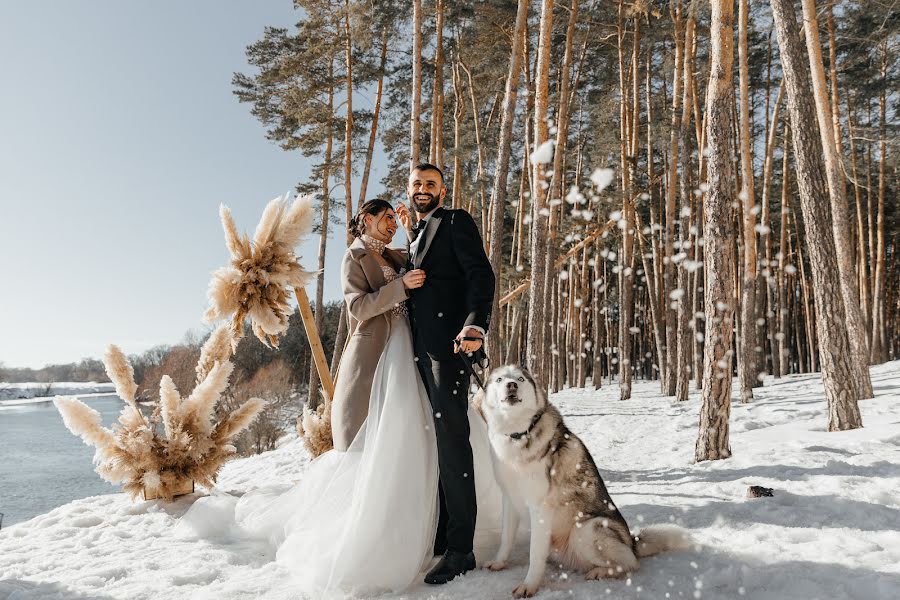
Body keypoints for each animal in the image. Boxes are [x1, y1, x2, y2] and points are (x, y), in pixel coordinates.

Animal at [478, 364, 688, 596]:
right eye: (499, 379)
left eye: (520, 379)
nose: (511, 385)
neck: (517, 434)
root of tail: (631, 541)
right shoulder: (510, 499)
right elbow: (506, 540)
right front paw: (499, 563)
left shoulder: (540, 508)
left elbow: (535, 555)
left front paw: (529, 586)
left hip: (586, 530)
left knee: (630, 562)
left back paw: (599, 572)